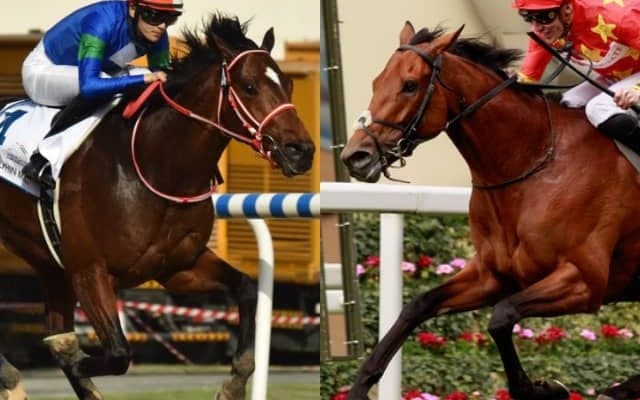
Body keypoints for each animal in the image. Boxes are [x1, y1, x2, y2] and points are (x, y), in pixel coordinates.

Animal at [0, 14, 315, 400]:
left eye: (288, 84)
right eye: (250, 86)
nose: (301, 150)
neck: (155, 167)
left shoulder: (178, 267)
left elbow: (245, 288)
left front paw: (234, 383)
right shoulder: (89, 271)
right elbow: (117, 353)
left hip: (47, 264)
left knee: (58, 333)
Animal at [340, 22, 640, 400]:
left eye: (409, 85)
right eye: (376, 82)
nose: (355, 156)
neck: (534, 161)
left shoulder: (584, 280)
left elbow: (501, 317)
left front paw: (540, 388)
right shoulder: (491, 275)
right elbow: (415, 307)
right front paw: (359, 386)